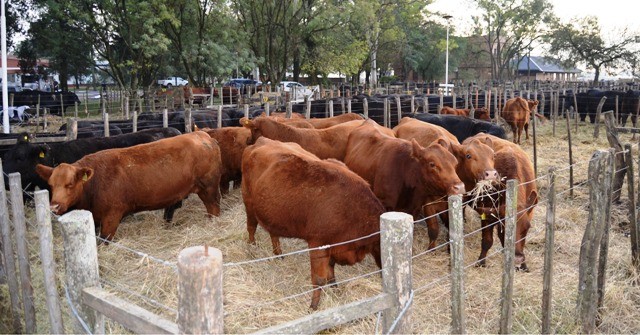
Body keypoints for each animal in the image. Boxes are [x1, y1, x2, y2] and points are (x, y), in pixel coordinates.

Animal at [37, 132, 225, 242]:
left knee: (214, 208)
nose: (54, 207)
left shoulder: (112, 216)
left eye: (69, 184)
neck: (95, 183)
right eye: (51, 185)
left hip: (208, 188)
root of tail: (204, 135)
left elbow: (104, 240)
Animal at [241, 137, 382, 310]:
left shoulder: (333, 246)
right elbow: (319, 278)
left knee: (273, 233)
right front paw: (314, 305)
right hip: (248, 202)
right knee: (251, 227)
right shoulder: (317, 243)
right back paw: (252, 249)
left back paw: (279, 254)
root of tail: (262, 140)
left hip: (271, 212)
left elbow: (330, 269)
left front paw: (335, 288)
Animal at [462, 133, 536, 272]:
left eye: (527, 228)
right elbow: (487, 241)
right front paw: (481, 261)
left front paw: (524, 265)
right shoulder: (487, 215)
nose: (517, 258)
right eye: (505, 229)